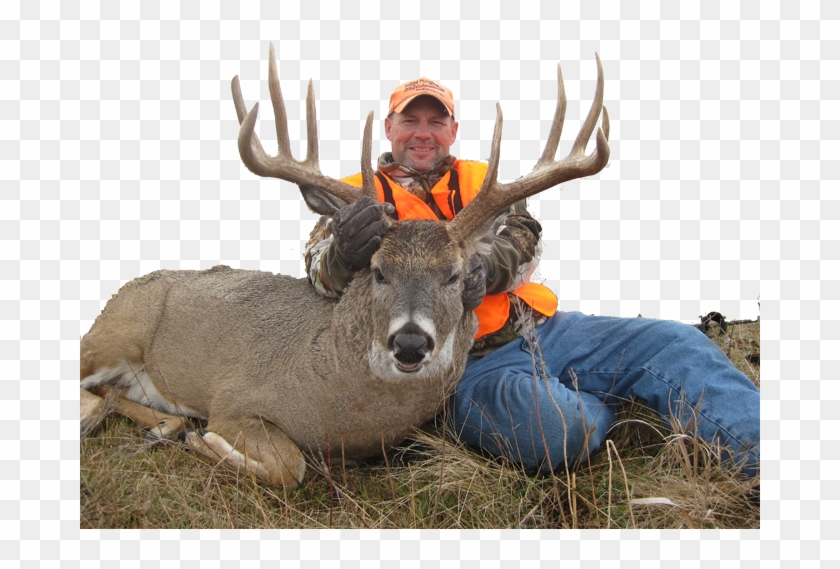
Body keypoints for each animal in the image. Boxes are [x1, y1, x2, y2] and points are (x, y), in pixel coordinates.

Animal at [79, 43, 610, 488]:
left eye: (456, 275)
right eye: (377, 270)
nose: (410, 343)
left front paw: (189, 435)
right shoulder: (233, 399)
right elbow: (289, 466)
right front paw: (203, 438)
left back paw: (160, 426)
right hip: (111, 334)